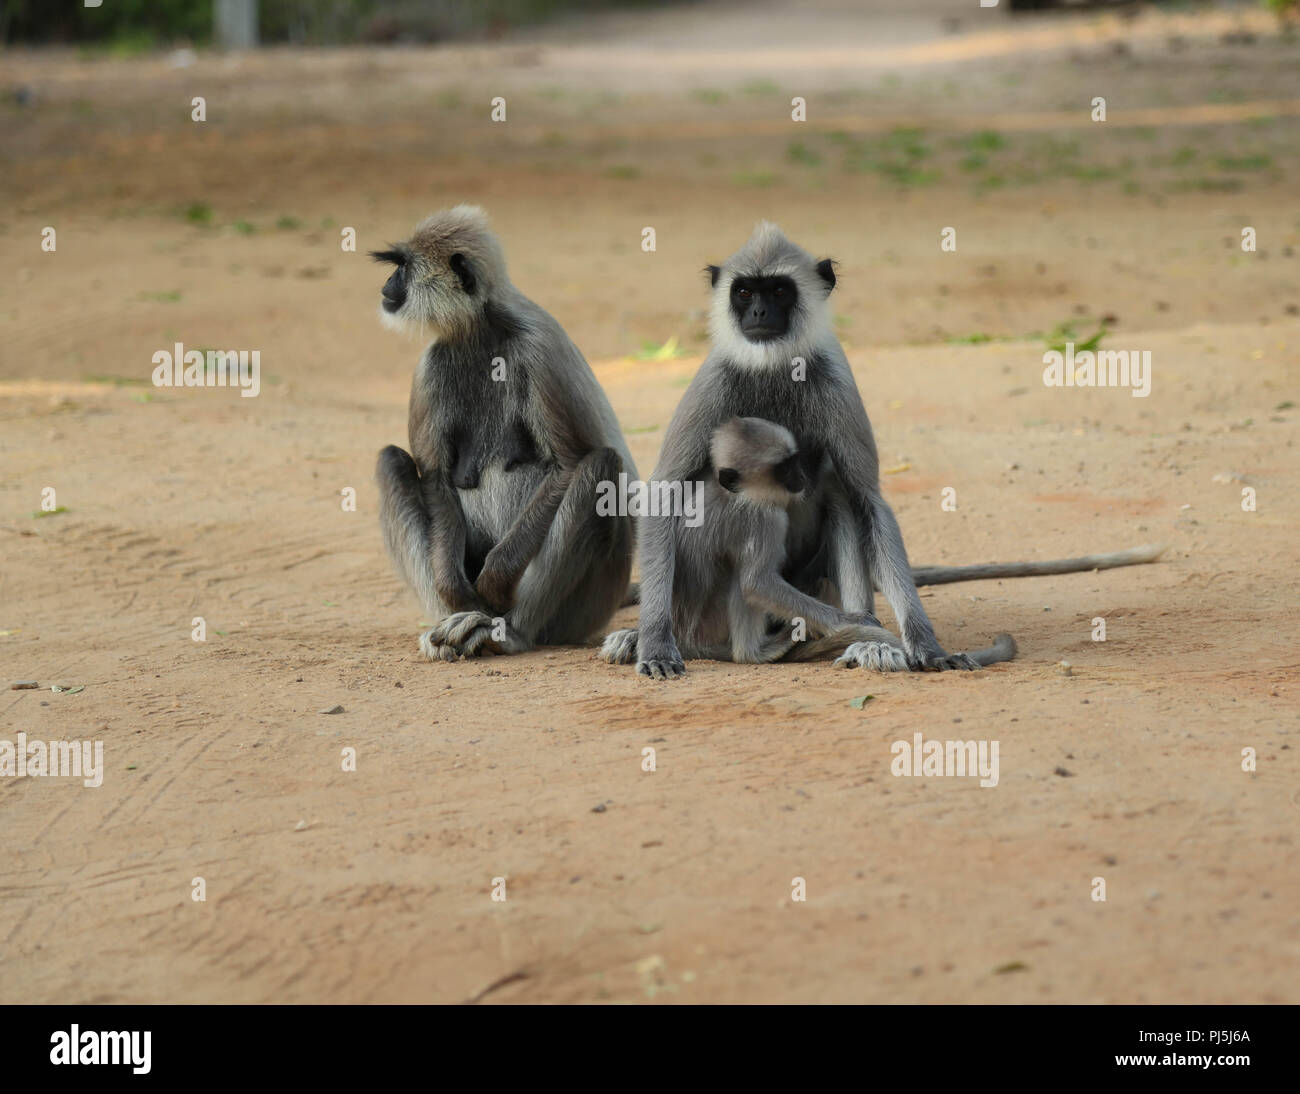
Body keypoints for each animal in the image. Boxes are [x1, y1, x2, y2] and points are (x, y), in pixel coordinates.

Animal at [374, 209, 637, 660]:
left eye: (403, 268)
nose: (387, 287)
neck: (481, 330)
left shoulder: (539, 350)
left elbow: (569, 464)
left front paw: (495, 580)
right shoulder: (430, 365)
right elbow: (437, 478)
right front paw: (455, 593)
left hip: (584, 611)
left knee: (600, 467)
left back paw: (509, 632)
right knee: (392, 461)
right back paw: (453, 622)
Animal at [598, 413, 1013, 665]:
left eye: (796, 460)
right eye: (784, 468)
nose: (801, 476)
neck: (735, 494)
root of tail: (687, 638)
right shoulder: (764, 518)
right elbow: (756, 582)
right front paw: (851, 621)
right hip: (713, 625)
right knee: (744, 582)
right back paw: (758, 651)